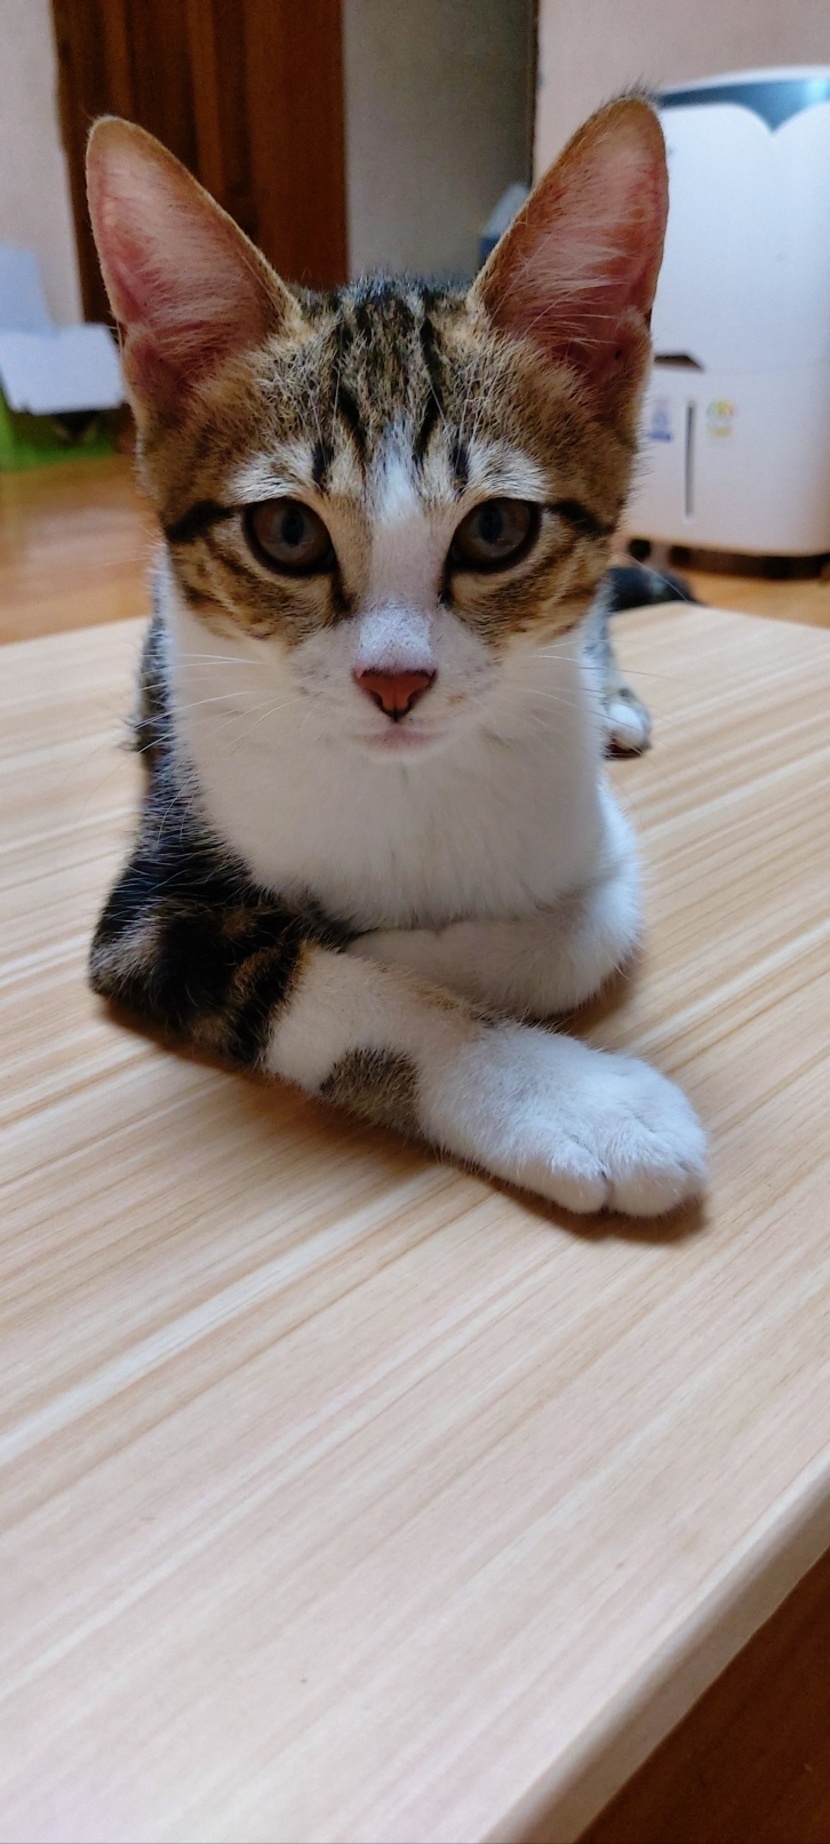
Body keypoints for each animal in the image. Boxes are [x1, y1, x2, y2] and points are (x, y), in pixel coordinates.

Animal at [85, 98, 706, 1218]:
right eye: (286, 532)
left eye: (497, 529)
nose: (395, 682)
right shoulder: (147, 914)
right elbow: (321, 977)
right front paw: (570, 1098)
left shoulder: (593, 832)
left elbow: (591, 924)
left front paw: (401, 949)